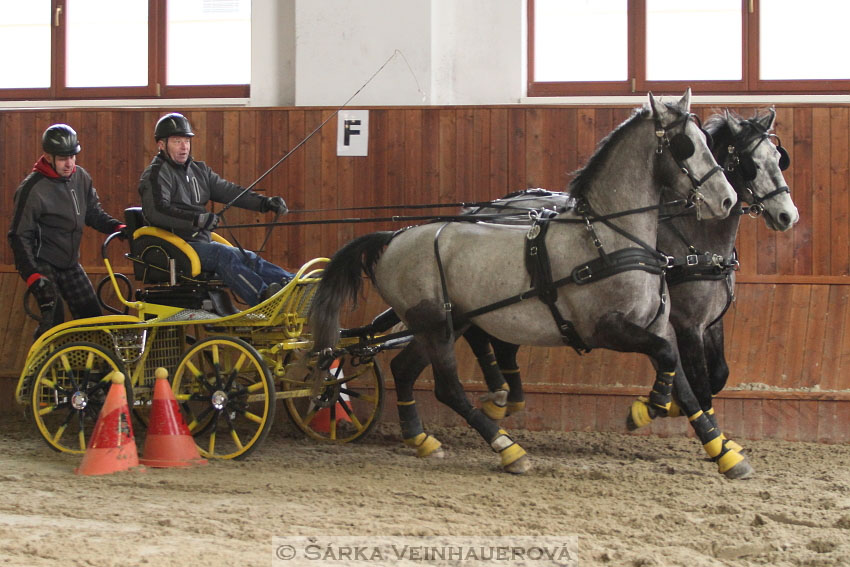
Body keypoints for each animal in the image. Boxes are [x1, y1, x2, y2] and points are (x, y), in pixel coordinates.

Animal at [312, 92, 748, 480]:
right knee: (448, 388)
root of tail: (394, 237)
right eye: (685, 146)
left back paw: (422, 439)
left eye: (708, 144)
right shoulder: (606, 329)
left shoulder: (657, 325)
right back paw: (508, 449)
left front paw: (723, 452)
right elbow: (668, 361)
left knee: (403, 369)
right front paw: (648, 407)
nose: (727, 200)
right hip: (436, 326)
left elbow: (681, 379)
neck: (608, 237)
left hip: (440, 325)